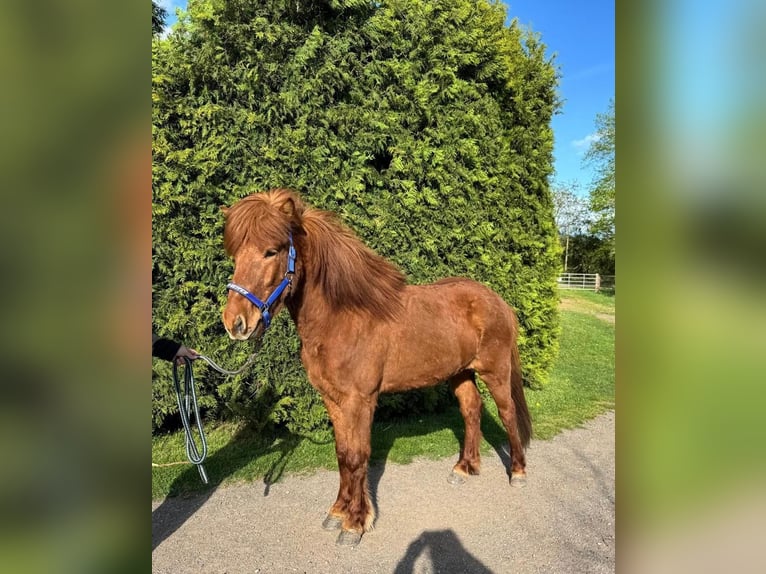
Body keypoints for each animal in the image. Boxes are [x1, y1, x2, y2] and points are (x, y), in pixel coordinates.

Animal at [221, 188, 532, 546]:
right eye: (235, 254)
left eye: (271, 251)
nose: (235, 323)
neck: (344, 318)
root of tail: (498, 301)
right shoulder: (333, 399)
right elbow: (343, 454)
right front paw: (337, 512)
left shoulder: (361, 400)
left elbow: (358, 456)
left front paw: (355, 524)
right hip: (460, 373)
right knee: (471, 410)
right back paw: (464, 468)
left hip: (495, 372)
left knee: (507, 413)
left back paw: (518, 472)